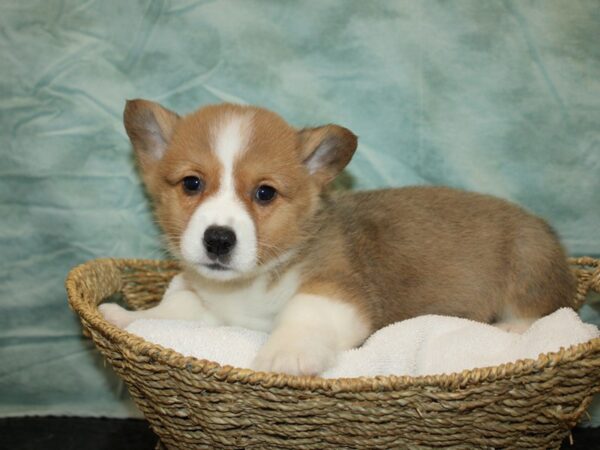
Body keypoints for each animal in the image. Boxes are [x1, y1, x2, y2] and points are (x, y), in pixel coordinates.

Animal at [98, 101, 576, 376]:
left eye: (265, 193)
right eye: (192, 184)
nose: (218, 240)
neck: (248, 284)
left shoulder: (335, 291)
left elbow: (304, 315)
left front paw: (285, 355)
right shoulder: (212, 310)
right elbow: (173, 311)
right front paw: (125, 316)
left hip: (529, 264)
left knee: (543, 312)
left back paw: (511, 329)